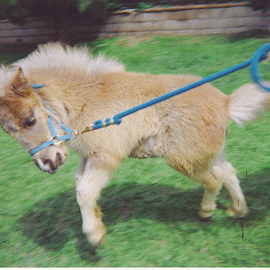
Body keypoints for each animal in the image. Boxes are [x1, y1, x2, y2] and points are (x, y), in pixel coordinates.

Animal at [0, 43, 268, 248]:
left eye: (30, 120)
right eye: (8, 132)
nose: (47, 163)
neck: (86, 100)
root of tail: (226, 103)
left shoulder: (106, 155)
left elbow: (85, 191)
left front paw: (94, 236)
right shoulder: (89, 156)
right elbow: (80, 185)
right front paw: (98, 223)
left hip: (183, 158)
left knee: (215, 179)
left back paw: (206, 211)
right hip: (208, 153)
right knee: (228, 172)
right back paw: (237, 210)